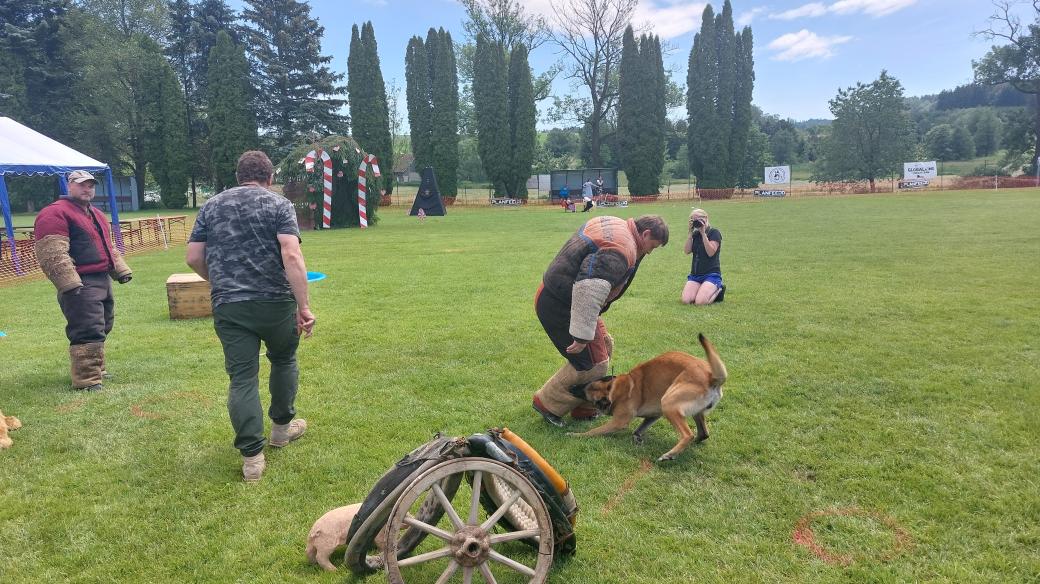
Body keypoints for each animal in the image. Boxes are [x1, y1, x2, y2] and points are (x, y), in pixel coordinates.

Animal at [565, 334, 728, 461]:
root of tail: (712, 377)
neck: (616, 389)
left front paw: (576, 435)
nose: (570, 387)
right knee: (703, 434)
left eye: (583, 392)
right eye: (584, 384)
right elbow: (638, 429)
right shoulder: (654, 415)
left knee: (688, 435)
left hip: (668, 403)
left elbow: (593, 431)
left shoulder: (618, 422)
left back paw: (669, 454)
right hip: (691, 411)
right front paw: (637, 438)